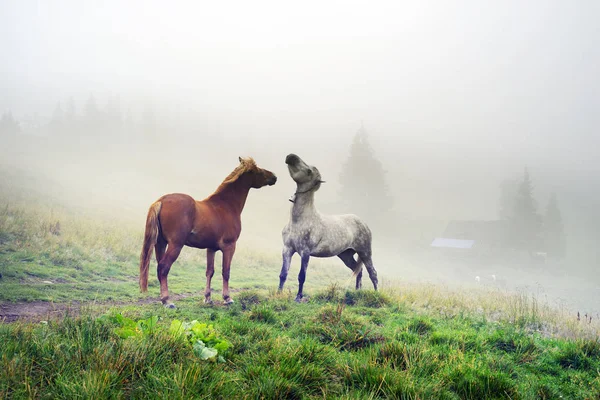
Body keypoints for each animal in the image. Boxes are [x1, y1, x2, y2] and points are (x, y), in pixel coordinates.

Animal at [139, 157, 276, 306]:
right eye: (258, 171)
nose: (274, 177)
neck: (225, 206)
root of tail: (161, 201)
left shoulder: (211, 249)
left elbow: (209, 271)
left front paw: (207, 298)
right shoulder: (229, 247)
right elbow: (226, 272)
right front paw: (227, 298)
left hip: (161, 243)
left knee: (160, 267)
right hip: (175, 245)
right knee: (164, 268)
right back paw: (167, 300)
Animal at [278, 152, 380, 302]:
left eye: (309, 171)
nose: (291, 156)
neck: (299, 221)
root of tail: (364, 223)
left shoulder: (305, 252)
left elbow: (301, 276)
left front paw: (298, 298)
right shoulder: (287, 249)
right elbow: (283, 274)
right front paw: (277, 294)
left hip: (365, 253)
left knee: (373, 273)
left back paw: (377, 294)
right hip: (345, 255)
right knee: (358, 271)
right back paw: (357, 292)